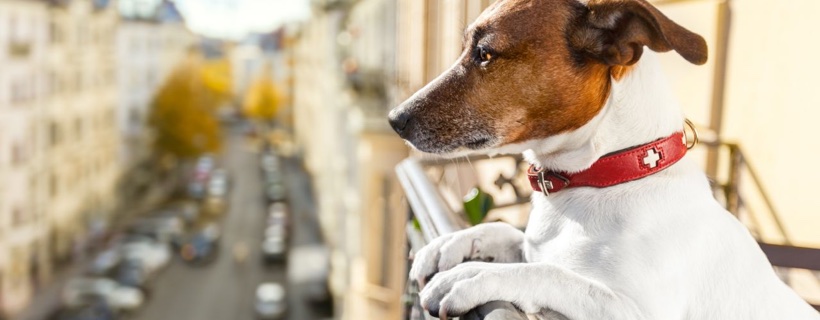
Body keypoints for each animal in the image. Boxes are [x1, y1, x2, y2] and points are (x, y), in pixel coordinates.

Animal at [386, 0, 820, 320]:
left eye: (484, 53)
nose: (394, 119)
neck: (606, 173)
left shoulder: (636, 310)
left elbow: (550, 273)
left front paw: (475, 273)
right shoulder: (535, 242)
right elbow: (510, 233)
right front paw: (452, 244)